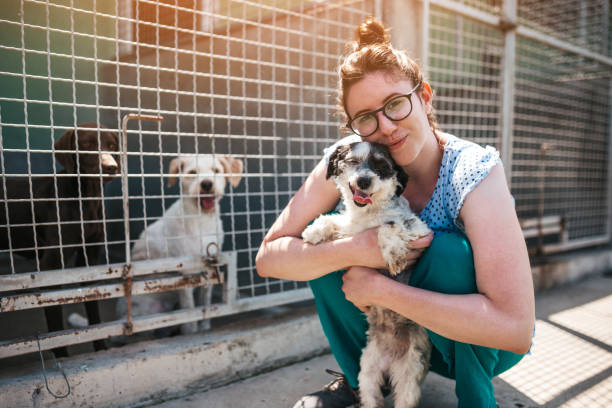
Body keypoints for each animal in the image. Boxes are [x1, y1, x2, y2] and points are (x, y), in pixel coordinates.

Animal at [0, 122, 122, 356]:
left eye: (112, 146)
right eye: (86, 145)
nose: (111, 166)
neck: (87, 200)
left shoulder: (90, 260)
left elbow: (94, 310)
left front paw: (101, 348)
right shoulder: (51, 265)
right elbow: (56, 330)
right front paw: (63, 358)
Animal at [304, 141, 432, 408]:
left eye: (382, 166)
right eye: (352, 161)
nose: (363, 181)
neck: (367, 214)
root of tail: (392, 358)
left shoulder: (420, 230)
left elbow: (389, 225)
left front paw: (393, 254)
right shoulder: (348, 228)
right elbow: (332, 220)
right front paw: (314, 231)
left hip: (410, 376)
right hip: (368, 373)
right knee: (371, 397)